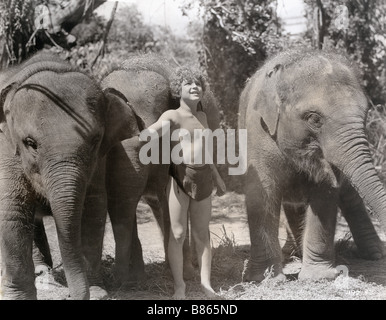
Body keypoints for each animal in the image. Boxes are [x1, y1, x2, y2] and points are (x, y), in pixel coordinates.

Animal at [0, 51, 140, 298]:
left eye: (95, 141)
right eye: (30, 143)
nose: (73, 295)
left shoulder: (99, 161)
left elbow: (93, 207)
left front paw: (97, 291)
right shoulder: (6, 149)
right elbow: (13, 209)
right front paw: (17, 296)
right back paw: (41, 274)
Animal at [238, 48, 386, 282]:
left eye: (365, 116)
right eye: (314, 119)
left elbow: (325, 194)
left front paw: (318, 276)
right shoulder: (257, 132)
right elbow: (261, 195)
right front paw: (264, 279)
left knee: (350, 196)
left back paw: (375, 254)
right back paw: (292, 252)